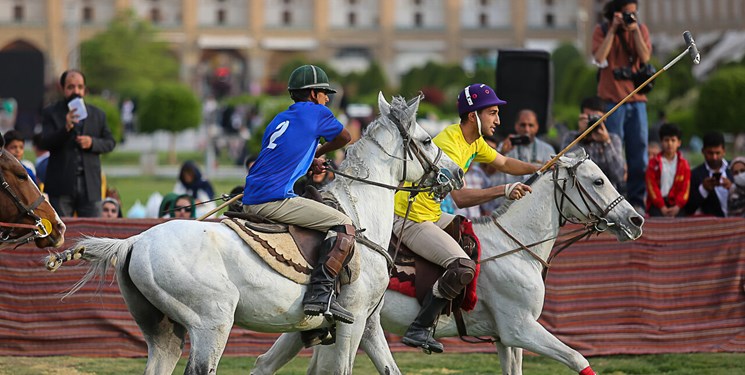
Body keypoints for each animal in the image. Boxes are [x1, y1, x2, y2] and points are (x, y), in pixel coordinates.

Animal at [58, 93, 462, 375]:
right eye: (428, 139)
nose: (456, 174)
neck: (361, 207)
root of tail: (134, 241)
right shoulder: (356, 319)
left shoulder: (361, 323)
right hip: (212, 321)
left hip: (163, 330)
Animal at [248, 152, 640, 375]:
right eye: (598, 180)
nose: (635, 220)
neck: (517, 247)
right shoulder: (520, 328)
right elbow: (577, 358)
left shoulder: (505, 339)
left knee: (265, 364)